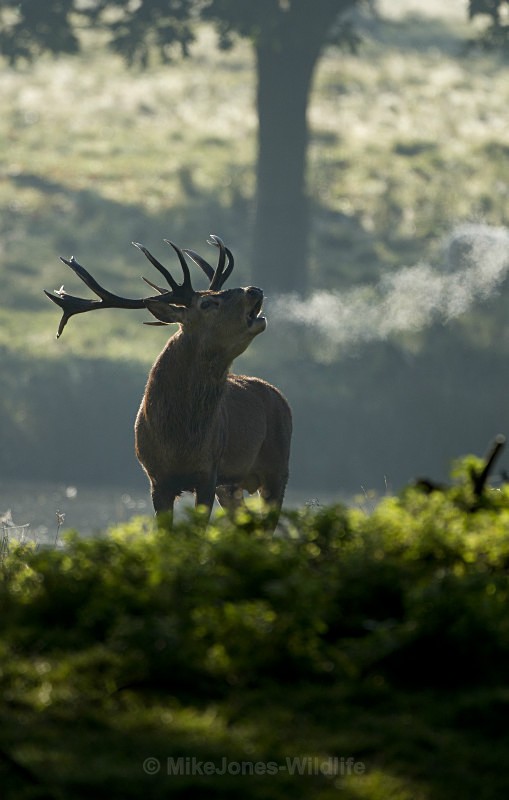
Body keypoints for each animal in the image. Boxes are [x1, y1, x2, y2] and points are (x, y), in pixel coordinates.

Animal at [45, 235, 292, 528]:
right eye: (207, 303)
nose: (254, 290)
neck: (178, 441)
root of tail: (278, 395)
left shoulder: (208, 472)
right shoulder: (157, 478)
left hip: (278, 468)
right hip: (232, 485)